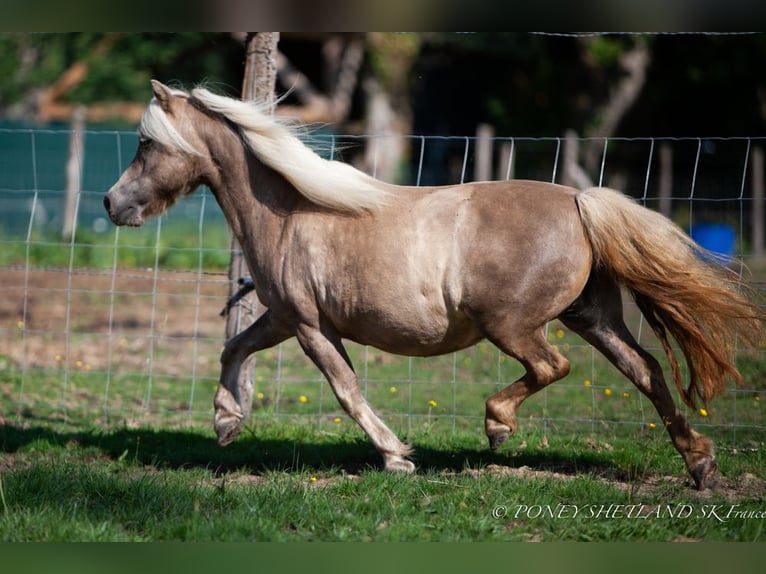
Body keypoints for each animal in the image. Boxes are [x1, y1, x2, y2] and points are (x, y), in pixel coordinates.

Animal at [105, 82, 764, 490]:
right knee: (646, 370)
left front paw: (397, 456)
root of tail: (581, 202)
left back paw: (498, 425)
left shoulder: (309, 325)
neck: (288, 210)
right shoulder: (283, 317)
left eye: (145, 143)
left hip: (513, 325)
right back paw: (700, 464)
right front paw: (225, 421)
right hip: (592, 317)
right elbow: (232, 347)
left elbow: (345, 390)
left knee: (553, 367)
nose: (113, 204)